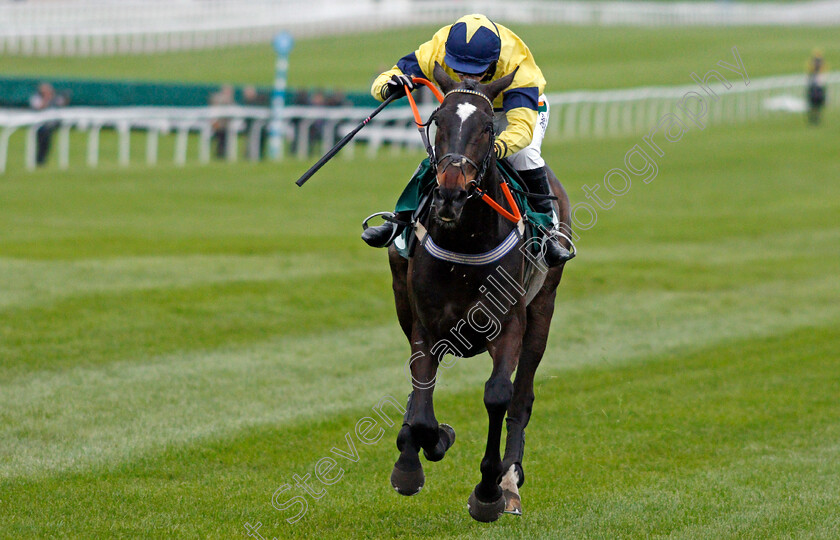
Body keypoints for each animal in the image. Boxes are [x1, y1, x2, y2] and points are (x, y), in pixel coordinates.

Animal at [388, 64, 576, 524]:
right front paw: (415, 458)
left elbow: (499, 395)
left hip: (544, 306)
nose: (451, 192)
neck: (465, 242)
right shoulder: (425, 323)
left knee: (522, 397)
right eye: (437, 120)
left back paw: (509, 484)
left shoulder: (509, 324)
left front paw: (489, 490)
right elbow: (422, 398)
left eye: (488, 127)